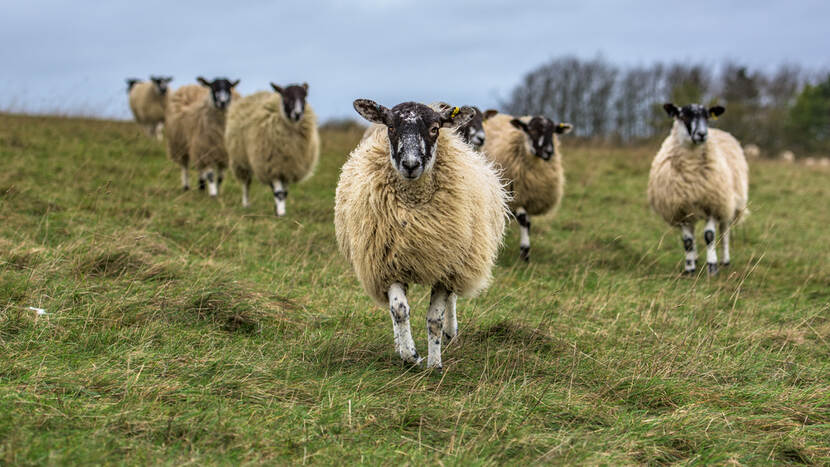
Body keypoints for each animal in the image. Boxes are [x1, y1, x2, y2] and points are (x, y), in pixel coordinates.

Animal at [226, 83, 320, 217]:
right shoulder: (271, 165)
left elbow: (284, 192)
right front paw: (280, 213)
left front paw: (280, 209)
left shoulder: (288, 168)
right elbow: (279, 193)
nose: (297, 113)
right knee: (246, 183)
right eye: (286, 97)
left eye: (304, 97)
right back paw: (246, 203)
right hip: (240, 159)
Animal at [334, 100, 510, 372]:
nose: (410, 165)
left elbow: (434, 319)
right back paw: (400, 344)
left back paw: (450, 332)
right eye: (391, 127)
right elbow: (399, 310)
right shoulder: (387, 265)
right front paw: (410, 356)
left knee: (452, 301)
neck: (414, 210)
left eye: (435, 128)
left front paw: (434, 364)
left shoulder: (446, 267)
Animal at [480, 112, 572, 262]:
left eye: (553, 131)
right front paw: (525, 251)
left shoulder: (530, 198)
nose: (549, 152)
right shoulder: (516, 198)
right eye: (532, 130)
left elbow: (528, 224)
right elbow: (523, 220)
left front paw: (525, 251)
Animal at [648, 103, 752, 274]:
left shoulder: (712, 204)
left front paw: (712, 266)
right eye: (683, 116)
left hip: (727, 203)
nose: (702, 134)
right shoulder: (680, 209)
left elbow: (709, 236)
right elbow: (688, 241)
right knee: (693, 234)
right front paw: (689, 268)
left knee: (724, 232)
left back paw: (725, 260)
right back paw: (695, 259)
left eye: (707, 117)